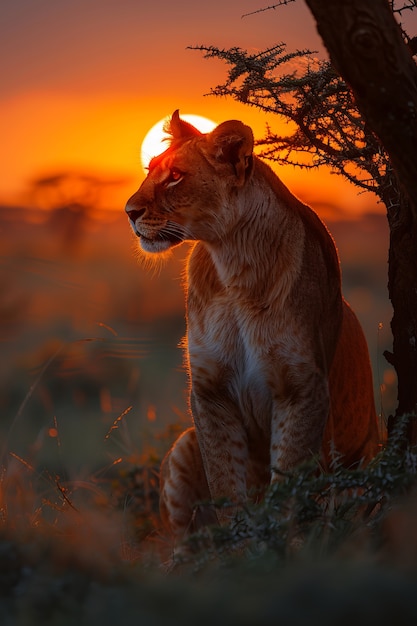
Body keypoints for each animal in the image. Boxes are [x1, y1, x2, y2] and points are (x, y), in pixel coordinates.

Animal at [125, 109, 378, 540]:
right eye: (150, 169)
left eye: (175, 175)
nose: (128, 211)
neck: (235, 266)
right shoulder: (209, 392)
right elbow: (226, 484)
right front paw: (241, 545)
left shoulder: (302, 387)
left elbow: (287, 484)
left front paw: (278, 545)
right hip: (183, 445)